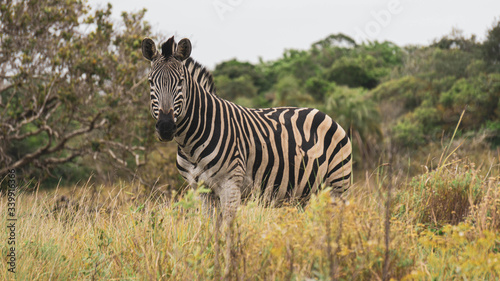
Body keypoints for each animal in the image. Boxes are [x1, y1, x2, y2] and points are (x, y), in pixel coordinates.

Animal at [141, 35, 352, 223]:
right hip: (305, 192)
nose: (166, 127)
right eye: (150, 82)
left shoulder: (230, 184)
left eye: (181, 81)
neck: (190, 143)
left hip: (338, 184)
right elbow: (209, 227)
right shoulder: (201, 189)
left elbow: (228, 227)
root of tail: (325, 115)